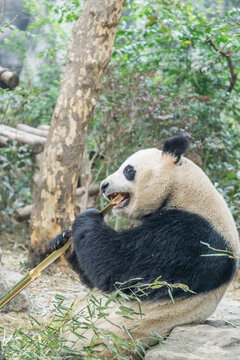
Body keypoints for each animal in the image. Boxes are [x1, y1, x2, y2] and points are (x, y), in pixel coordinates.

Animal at [49, 136, 239, 358]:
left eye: (128, 169)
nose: (104, 185)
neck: (181, 189)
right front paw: (62, 240)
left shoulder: (194, 238)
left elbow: (122, 269)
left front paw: (88, 217)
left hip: (103, 342)